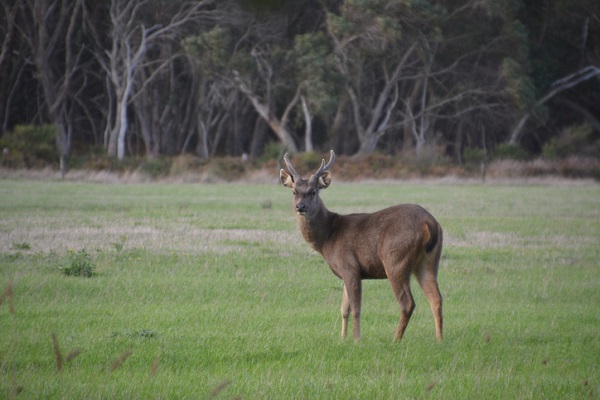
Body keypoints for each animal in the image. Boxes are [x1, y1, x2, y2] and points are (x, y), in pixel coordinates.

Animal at [278, 150, 442, 340]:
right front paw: (342, 339)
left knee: (407, 303)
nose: (300, 206)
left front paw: (357, 339)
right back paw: (439, 340)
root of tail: (429, 223)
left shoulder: (350, 266)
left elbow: (356, 308)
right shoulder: (345, 271)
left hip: (395, 259)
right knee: (436, 299)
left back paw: (396, 340)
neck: (328, 238)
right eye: (294, 192)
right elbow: (344, 309)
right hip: (428, 261)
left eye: (313, 192)